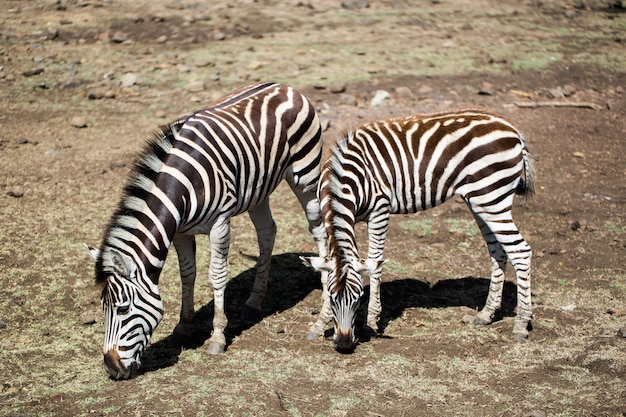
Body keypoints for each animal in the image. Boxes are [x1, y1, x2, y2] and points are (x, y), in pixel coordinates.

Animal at [88, 81, 332, 376]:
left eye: (123, 309)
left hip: (305, 176)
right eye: (103, 308)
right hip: (258, 189)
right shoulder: (181, 233)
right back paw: (254, 302)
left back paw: (323, 311)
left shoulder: (219, 225)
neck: (181, 188)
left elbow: (216, 276)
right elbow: (187, 275)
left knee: (318, 229)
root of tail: (285, 86)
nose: (111, 368)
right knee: (267, 232)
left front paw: (216, 337)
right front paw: (182, 328)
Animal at [302, 108, 532, 352]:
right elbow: (331, 268)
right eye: (332, 297)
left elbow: (375, 263)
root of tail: (512, 128)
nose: (345, 344)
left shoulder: (380, 211)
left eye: (357, 298)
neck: (345, 180)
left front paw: (372, 321)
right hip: (481, 201)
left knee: (521, 251)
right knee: (498, 251)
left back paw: (521, 325)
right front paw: (320, 322)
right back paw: (486, 314)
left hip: (492, 197)